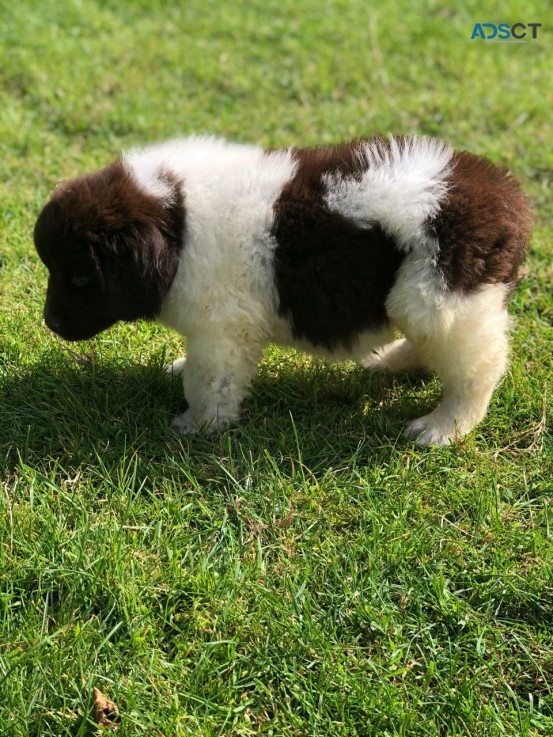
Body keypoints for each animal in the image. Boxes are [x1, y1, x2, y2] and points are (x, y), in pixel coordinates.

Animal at [33, 136, 532, 446]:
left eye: (81, 278)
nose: (50, 324)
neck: (177, 220)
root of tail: (509, 197)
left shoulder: (223, 331)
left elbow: (208, 380)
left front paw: (197, 425)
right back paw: (390, 362)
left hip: (442, 298)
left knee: (478, 369)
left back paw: (442, 427)